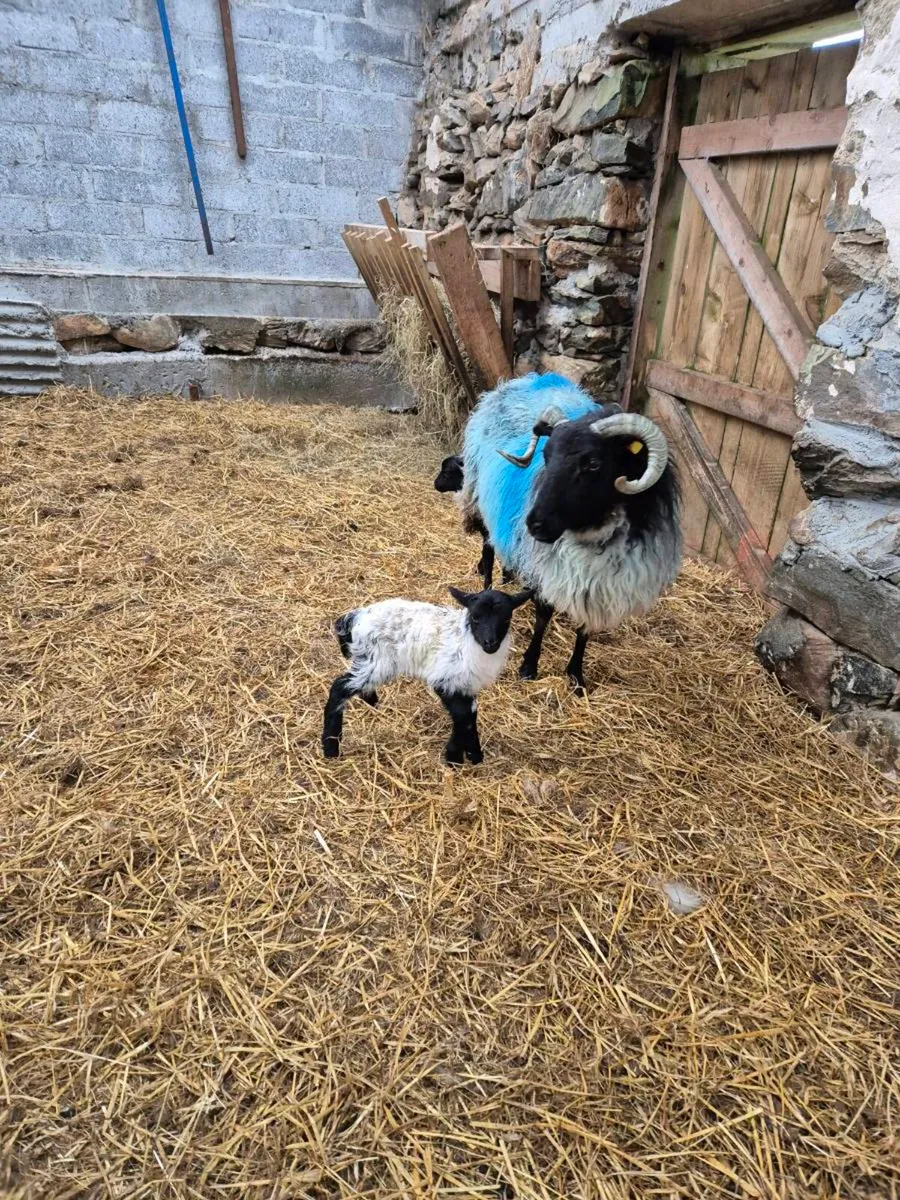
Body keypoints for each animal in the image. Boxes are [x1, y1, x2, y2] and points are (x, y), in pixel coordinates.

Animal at [322, 586, 533, 763]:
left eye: (506, 619)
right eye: (475, 617)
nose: (490, 643)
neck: (468, 641)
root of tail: (355, 617)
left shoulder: (466, 685)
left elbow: (470, 715)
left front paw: (473, 754)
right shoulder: (445, 679)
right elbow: (463, 717)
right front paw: (454, 757)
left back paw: (372, 703)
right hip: (376, 661)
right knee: (339, 687)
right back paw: (331, 747)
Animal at [460, 372, 681, 693]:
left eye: (593, 463)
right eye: (546, 456)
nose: (534, 524)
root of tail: (529, 379)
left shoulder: (597, 584)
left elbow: (583, 629)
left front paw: (576, 676)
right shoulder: (545, 564)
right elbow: (543, 615)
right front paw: (529, 666)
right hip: (480, 496)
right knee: (488, 550)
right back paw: (488, 587)